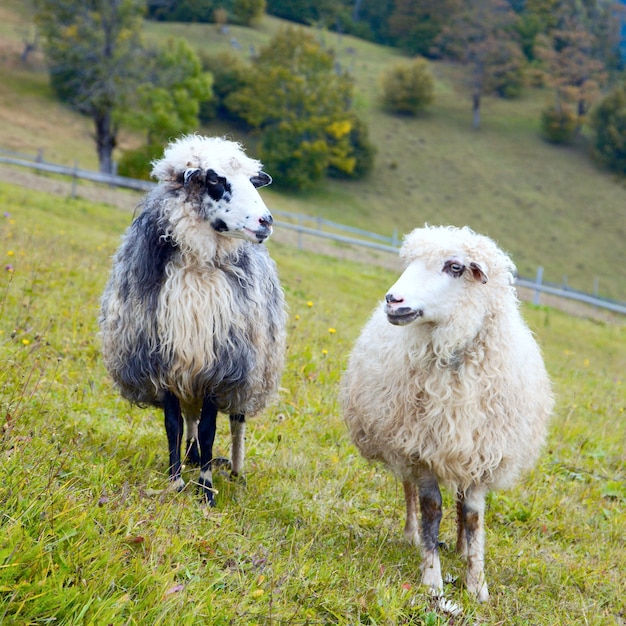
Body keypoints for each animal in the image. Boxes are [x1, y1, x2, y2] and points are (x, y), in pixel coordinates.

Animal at [99, 134, 286, 504]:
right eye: (215, 180)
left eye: (253, 180)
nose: (266, 221)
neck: (198, 263)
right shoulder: (163, 361)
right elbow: (173, 425)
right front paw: (176, 480)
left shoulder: (222, 365)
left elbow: (212, 428)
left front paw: (206, 490)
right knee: (190, 418)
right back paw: (191, 456)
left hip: (250, 366)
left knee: (236, 421)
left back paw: (234, 470)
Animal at [342, 224, 552, 600]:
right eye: (409, 262)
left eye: (454, 267)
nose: (393, 300)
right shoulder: (420, 446)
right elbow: (431, 509)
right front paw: (432, 579)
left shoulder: (482, 451)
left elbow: (472, 517)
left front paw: (478, 586)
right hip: (401, 437)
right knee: (409, 488)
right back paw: (412, 535)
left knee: (459, 500)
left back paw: (461, 547)